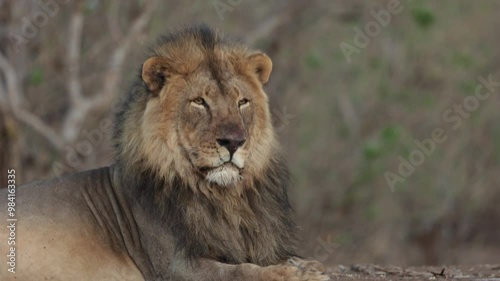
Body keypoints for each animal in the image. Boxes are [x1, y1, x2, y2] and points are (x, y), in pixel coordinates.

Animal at [0, 25, 328, 278]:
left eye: (242, 102)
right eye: (200, 102)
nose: (235, 141)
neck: (223, 198)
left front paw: (307, 266)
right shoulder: (173, 266)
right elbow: (239, 271)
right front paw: (290, 274)